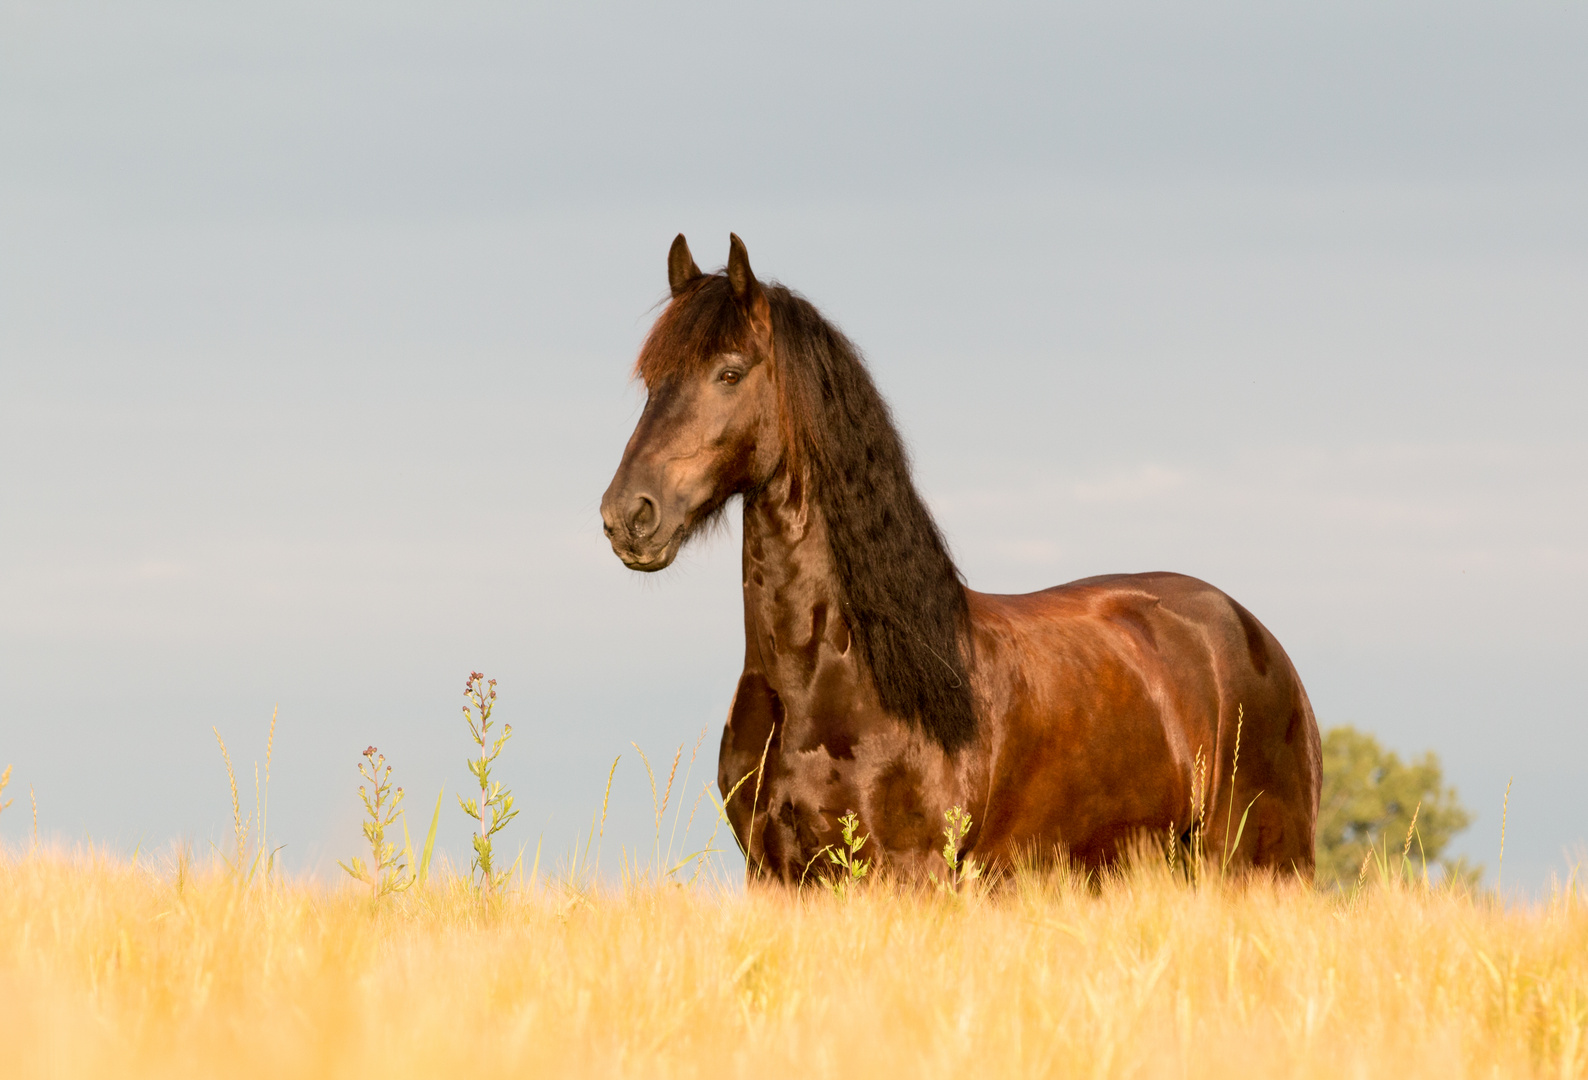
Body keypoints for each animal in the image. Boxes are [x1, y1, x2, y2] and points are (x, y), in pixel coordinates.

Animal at [597, 231, 1314, 883]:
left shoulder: (908, 874)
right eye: (652, 379)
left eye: (730, 372)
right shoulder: (775, 876)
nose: (628, 515)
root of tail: (1259, 639)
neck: (838, 671)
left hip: (1260, 867)